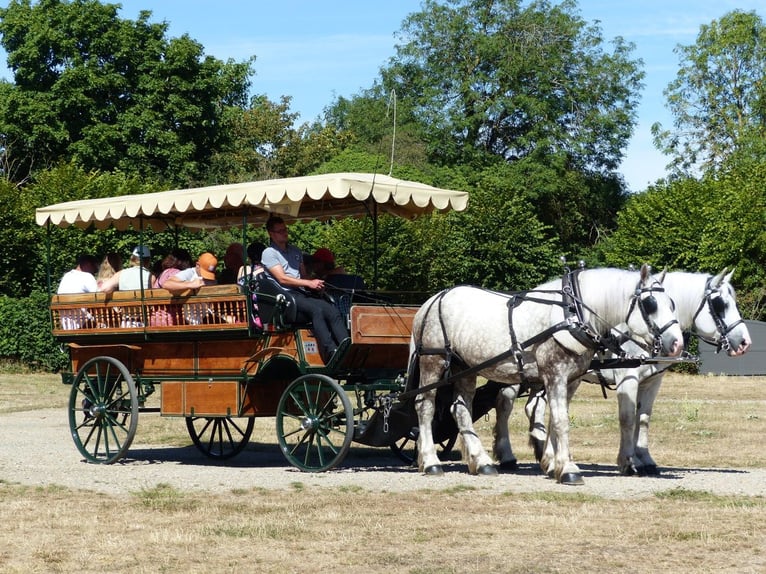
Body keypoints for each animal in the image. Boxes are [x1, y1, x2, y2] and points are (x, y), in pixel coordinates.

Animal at [408, 266, 684, 486]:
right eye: (650, 304)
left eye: (672, 303)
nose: (677, 344)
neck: (572, 313)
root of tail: (431, 301)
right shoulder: (556, 374)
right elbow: (562, 421)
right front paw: (569, 470)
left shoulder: (571, 379)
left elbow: (554, 420)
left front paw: (554, 464)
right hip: (433, 361)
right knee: (425, 406)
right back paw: (431, 462)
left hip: (464, 368)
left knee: (461, 410)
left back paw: (482, 461)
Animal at [496, 270, 752, 476]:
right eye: (719, 304)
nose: (744, 343)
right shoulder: (627, 378)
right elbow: (627, 418)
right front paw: (628, 461)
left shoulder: (653, 382)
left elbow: (644, 419)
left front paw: (646, 459)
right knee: (506, 406)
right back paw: (508, 455)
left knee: (536, 408)